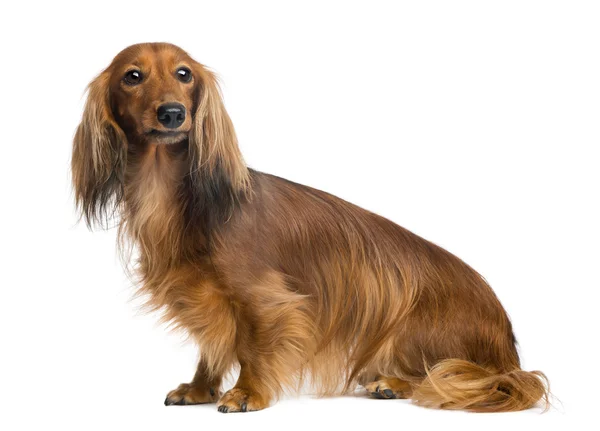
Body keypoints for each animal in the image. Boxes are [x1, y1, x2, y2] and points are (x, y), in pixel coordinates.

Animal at [70, 42, 548, 414]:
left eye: (183, 74)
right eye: (132, 76)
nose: (173, 113)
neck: (170, 194)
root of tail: (509, 348)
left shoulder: (265, 299)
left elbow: (251, 346)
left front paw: (247, 393)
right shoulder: (205, 297)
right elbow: (212, 345)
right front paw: (200, 388)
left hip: (412, 328)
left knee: (447, 375)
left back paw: (393, 383)